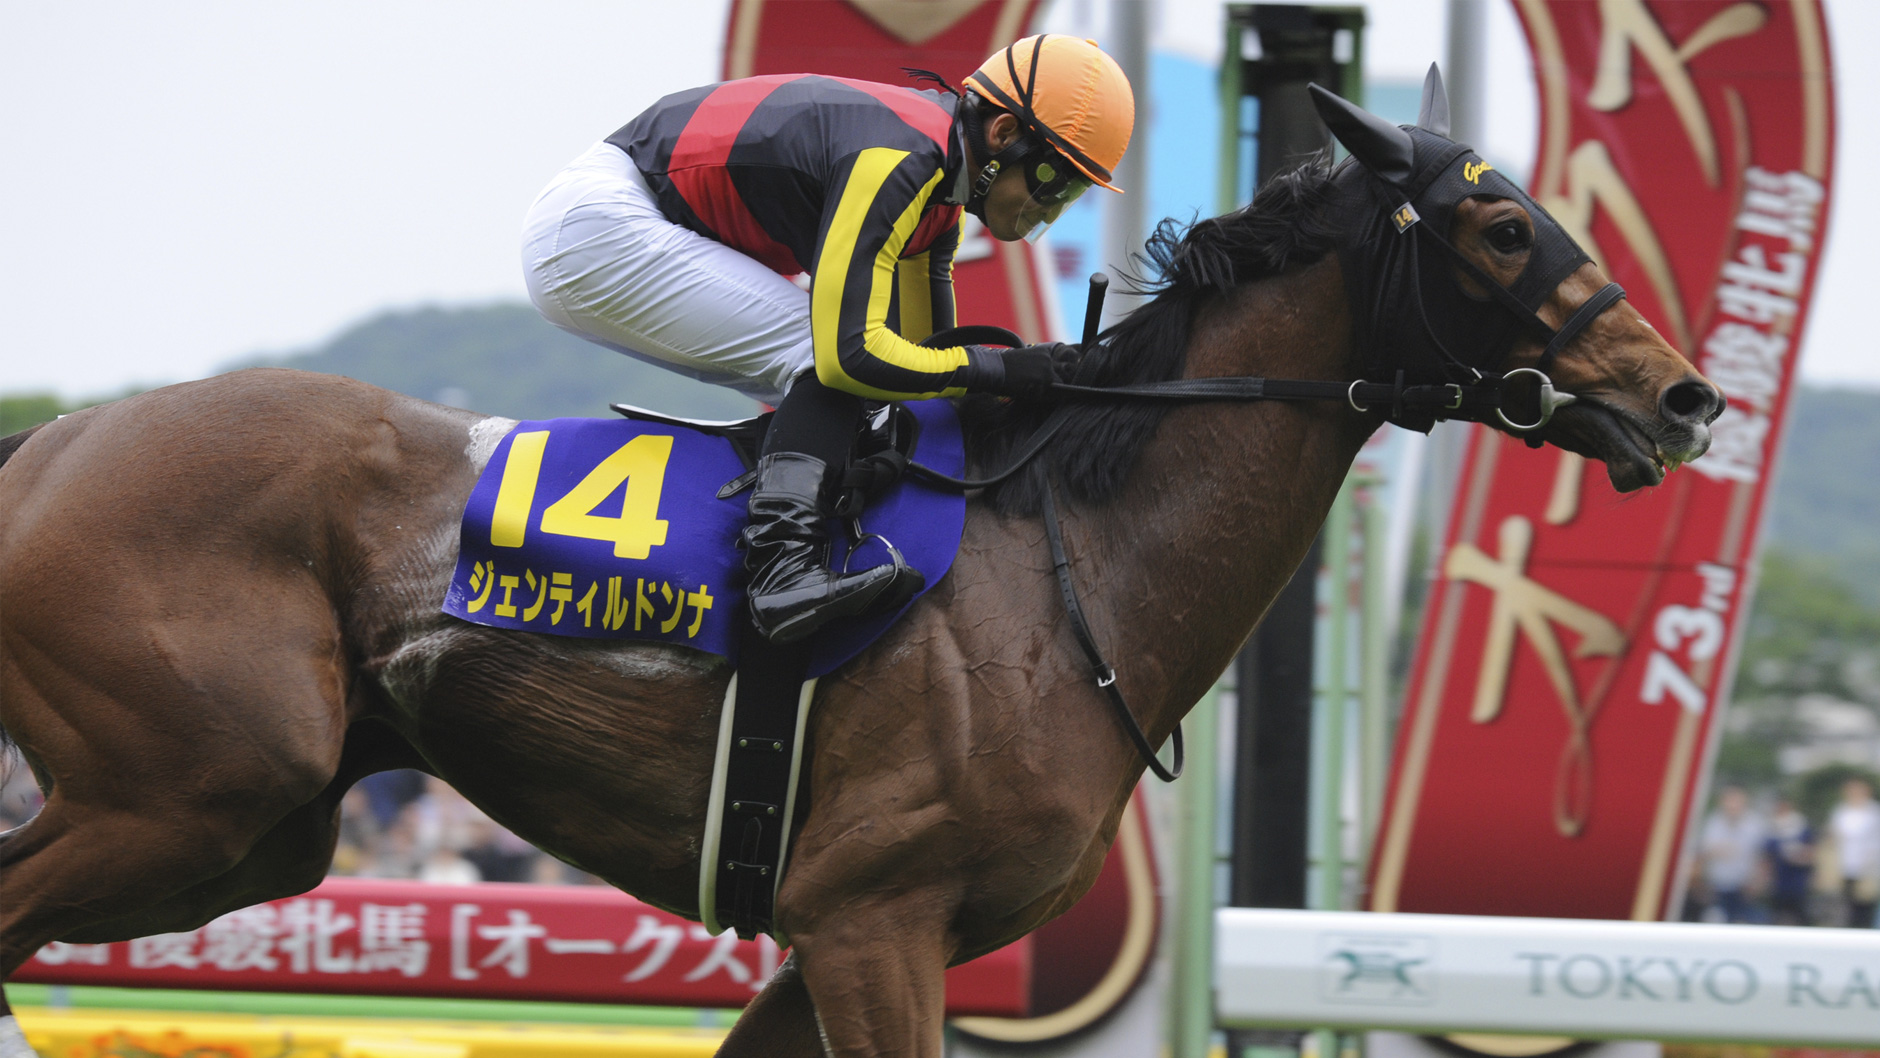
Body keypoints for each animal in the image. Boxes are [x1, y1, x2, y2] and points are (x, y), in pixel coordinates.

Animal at [0, 82, 1720, 1056]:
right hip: (192, 789)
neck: (1073, 564)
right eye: (1501, 231)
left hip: (247, 832)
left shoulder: (868, 932)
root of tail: (54, 442)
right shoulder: (871, 915)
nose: (1685, 396)